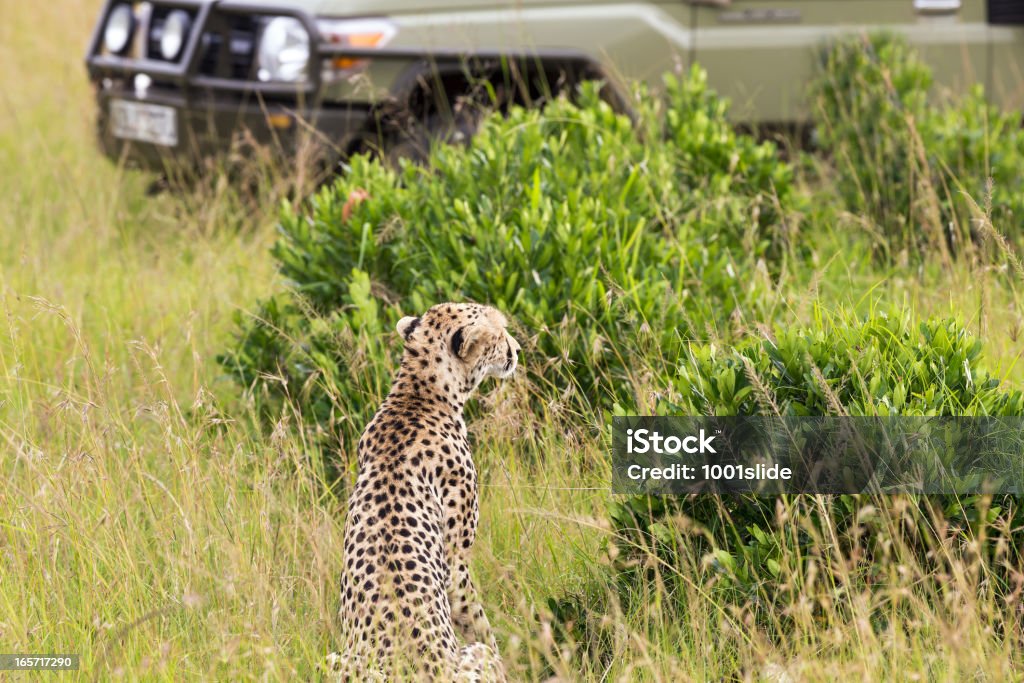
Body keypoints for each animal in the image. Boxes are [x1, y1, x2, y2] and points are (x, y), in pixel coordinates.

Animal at [329, 303, 520, 679]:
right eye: (499, 333)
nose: (517, 350)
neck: (417, 392)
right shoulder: (456, 562)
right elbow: (478, 621)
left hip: (334, 659)